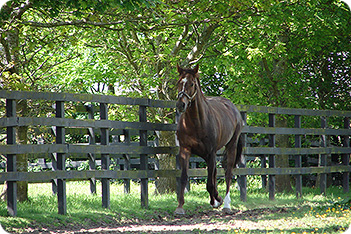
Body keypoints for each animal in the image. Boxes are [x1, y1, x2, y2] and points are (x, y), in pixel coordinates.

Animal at [175, 64, 243, 216]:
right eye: (179, 83)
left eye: (192, 84)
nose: (181, 105)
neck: (196, 123)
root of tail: (233, 108)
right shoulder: (185, 151)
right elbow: (184, 177)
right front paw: (180, 207)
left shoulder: (211, 153)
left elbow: (209, 184)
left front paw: (217, 199)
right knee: (215, 174)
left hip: (231, 147)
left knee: (228, 173)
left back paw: (226, 204)